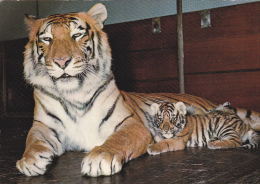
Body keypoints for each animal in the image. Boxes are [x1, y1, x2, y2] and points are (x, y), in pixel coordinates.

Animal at [16, 3, 260, 178]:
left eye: (76, 35)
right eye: (47, 39)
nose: (61, 62)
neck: (73, 94)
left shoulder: (131, 125)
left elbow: (117, 140)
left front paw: (99, 157)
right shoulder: (43, 125)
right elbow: (32, 141)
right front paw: (30, 161)